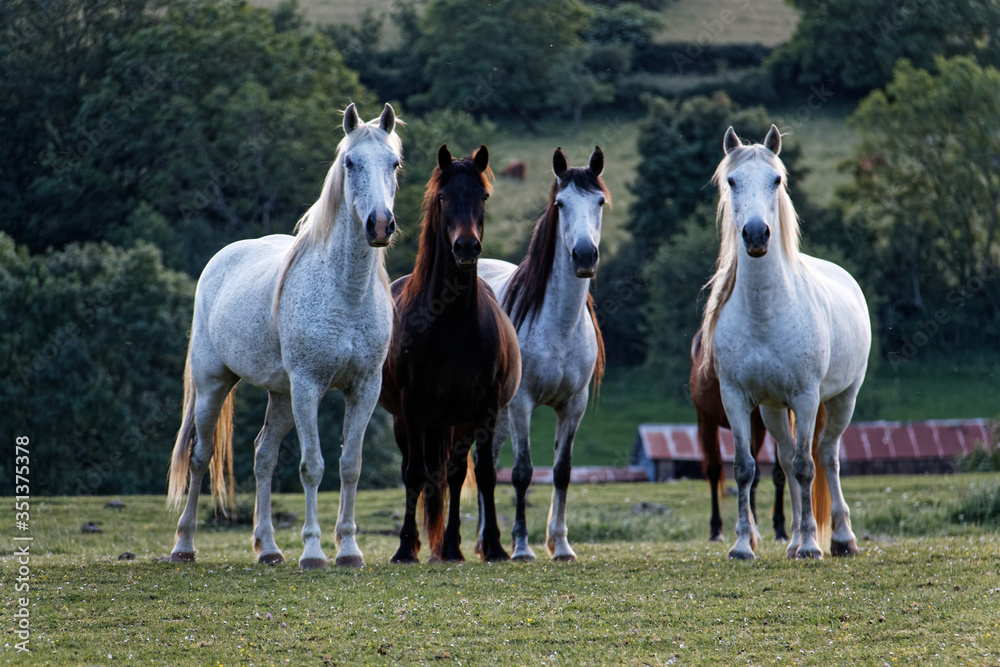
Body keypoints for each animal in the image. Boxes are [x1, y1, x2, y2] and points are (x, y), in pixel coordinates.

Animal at [166, 103, 401, 569]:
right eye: (350, 163)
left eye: (394, 163)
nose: (380, 224)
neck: (346, 293)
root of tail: (221, 258)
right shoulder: (309, 387)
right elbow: (313, 466)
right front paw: (313, 552)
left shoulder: (364, 388)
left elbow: (350, 465)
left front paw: (349, 550)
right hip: (213, 385)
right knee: (200, 457)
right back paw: (184, 545)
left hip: (280, 396)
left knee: (263, 456)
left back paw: (270, 548)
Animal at [379, 144, 521, 564]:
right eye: (443, 197)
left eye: (483, 196)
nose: (466, 247)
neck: (452, 324)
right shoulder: (413, 408)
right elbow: (414, 474)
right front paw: (405, 548)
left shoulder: (486, 408)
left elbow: (484, 474)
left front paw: (494, 547)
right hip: (411, 421)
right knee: (417, 470)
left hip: (459, 420)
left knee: (455, 475)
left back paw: (452, 546)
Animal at [477, 146, 607, 561]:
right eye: (560, 204)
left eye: (599, 201)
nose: (584, 255)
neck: (559, 326)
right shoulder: (523, 404)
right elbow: (522, 473)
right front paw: (521, 547)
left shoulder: (573, 405)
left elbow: (562, 471)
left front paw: (561, 545)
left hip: (499, 417)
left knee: (484, 463)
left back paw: (485, 543)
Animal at [690, 328, 830, 545]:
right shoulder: (707, 422)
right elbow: (714, 471)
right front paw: (716, 529)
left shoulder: (755, 422)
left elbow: (767, 475)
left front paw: (765, 527)